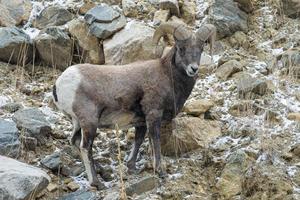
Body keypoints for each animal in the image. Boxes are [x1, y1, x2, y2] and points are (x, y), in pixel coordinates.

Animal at [51, 22, 216, 189]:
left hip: (77, 123)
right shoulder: (153, 115)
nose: (193, 69)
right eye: (181, 48)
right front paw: (160, 172)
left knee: (75, 141)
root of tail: (60, 83)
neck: (167, 75)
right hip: (90, 122)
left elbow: (138, 140)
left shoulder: (141, 122)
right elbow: (155, 141)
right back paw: (97, 183)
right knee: (85, 147)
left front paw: (131, 167)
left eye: (201, 49)